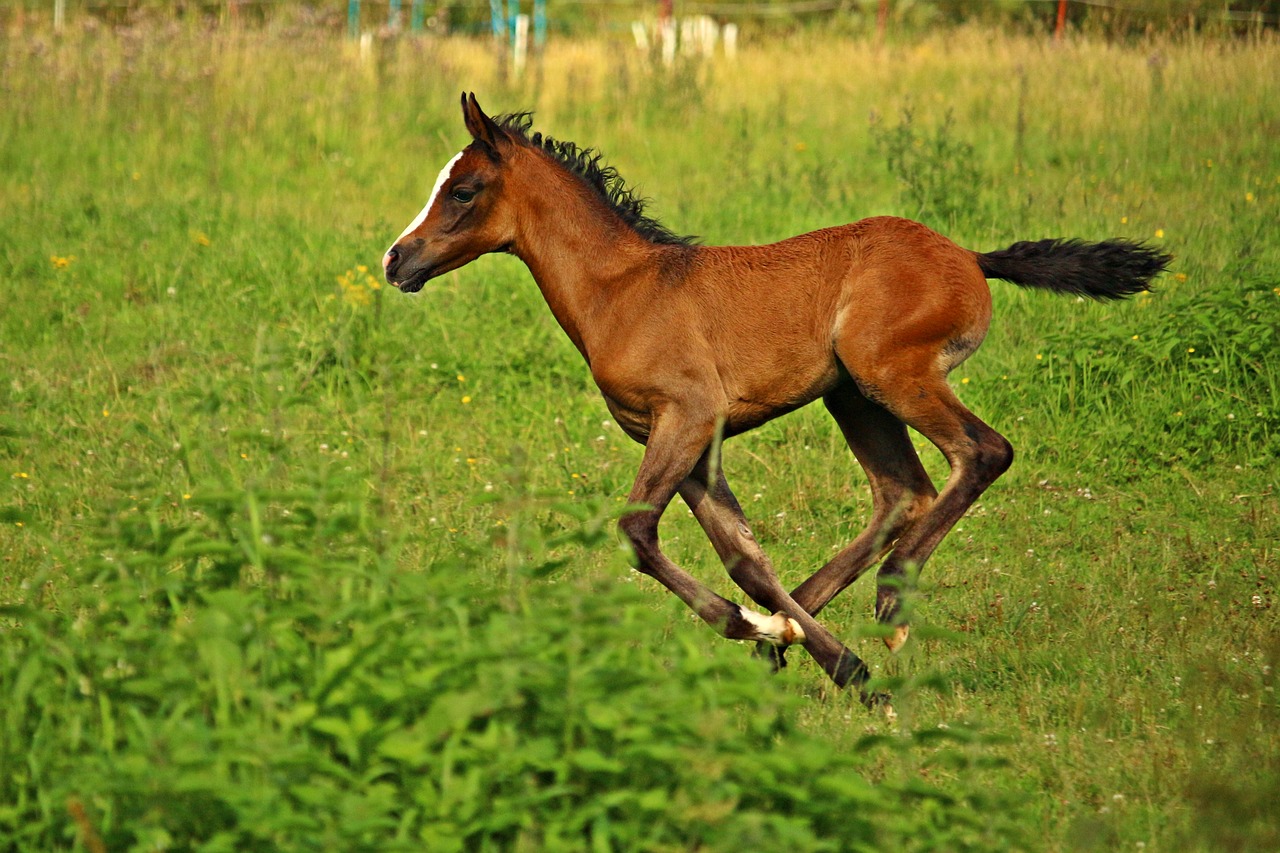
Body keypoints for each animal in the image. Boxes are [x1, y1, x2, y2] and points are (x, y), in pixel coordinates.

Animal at [378, 94, 1172, 701]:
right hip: (854, 397)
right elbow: (746, 561)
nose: (395, 259)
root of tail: (970, 258)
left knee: (983, 451)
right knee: (902, 491)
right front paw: (811, 649)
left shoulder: (688, 417)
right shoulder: (688, 442)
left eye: (463, 190)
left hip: (893, 376)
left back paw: (893, 596)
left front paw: (790, 641)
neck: (623, 290)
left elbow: (637, 533)